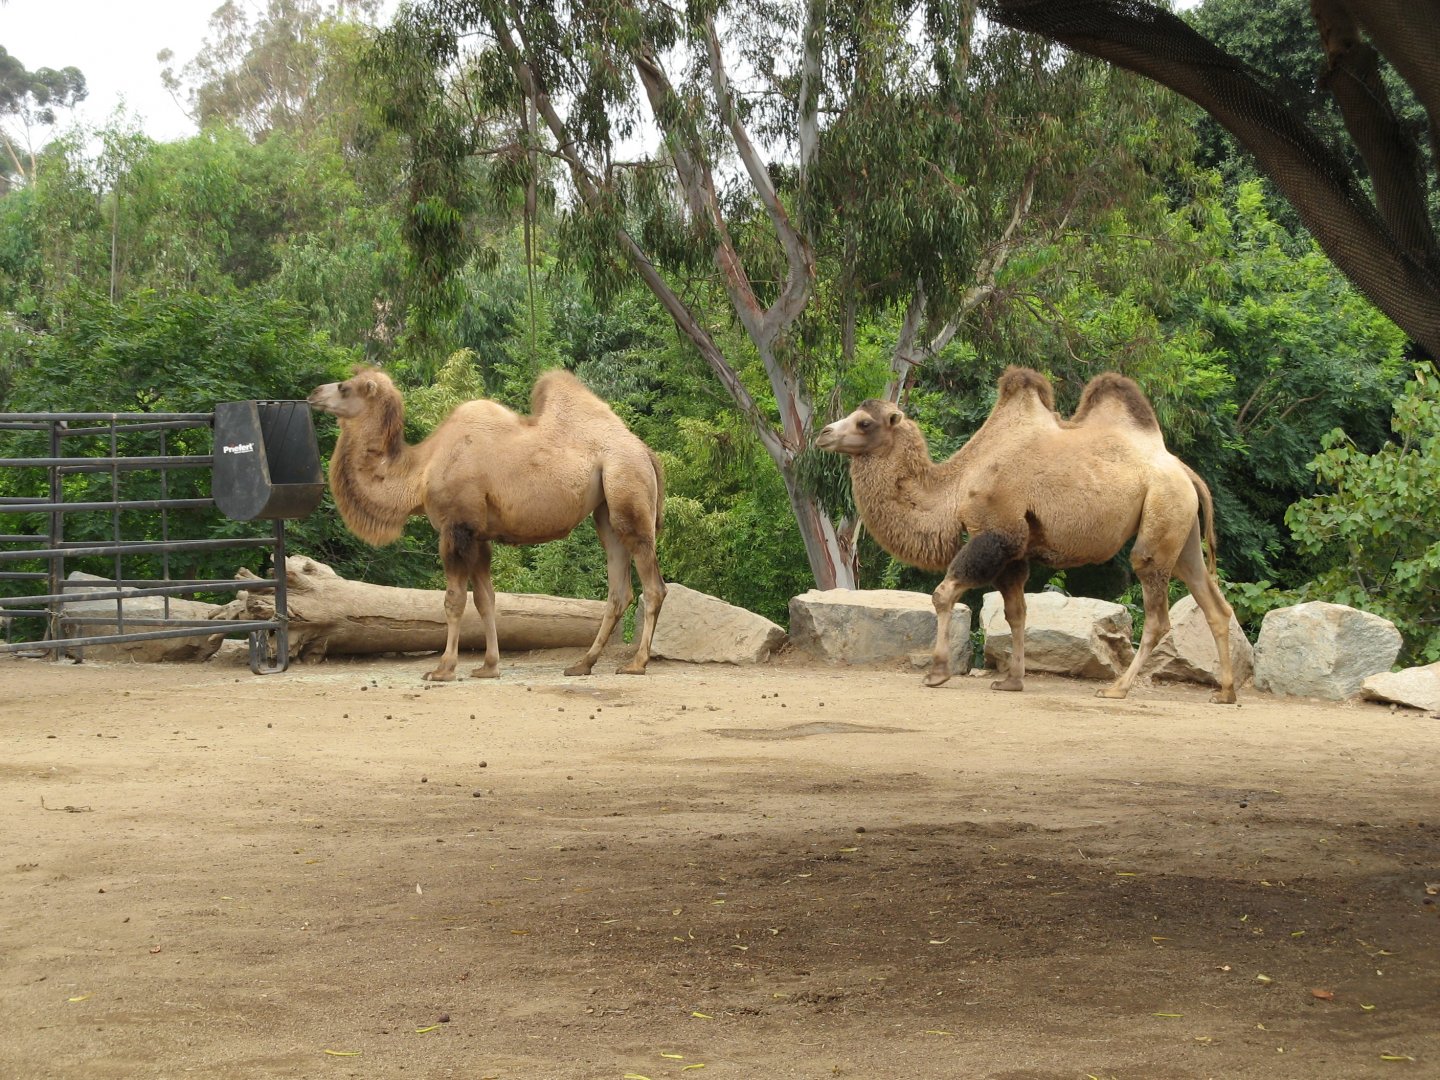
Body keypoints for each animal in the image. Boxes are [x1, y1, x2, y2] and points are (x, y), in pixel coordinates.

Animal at [307, 367, 667, 681]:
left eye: (345, 387)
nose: (313, 393)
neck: (420, 472)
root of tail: (646, 452)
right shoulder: (479, 535)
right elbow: (485, 600)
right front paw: (488, 667)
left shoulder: (456, 527)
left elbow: (454, 600)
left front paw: (443, 669)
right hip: (606, 509)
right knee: (619, 590)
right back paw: (582, 664)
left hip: (626, 484)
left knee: (653, 585)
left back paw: (636, 664)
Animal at [816, 366, 1237, 703]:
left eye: (864, 422)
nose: (823, 433)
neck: (958, 484)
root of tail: (1186, 471)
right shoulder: (1016, 552)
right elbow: (1016, 612)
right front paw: (1012, 681)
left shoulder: (996, 532)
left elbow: (944, 594)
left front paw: (937, 673)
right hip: (1182, 527)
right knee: (1213, 602)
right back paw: (1225, 693)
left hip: (1161, 514)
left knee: (1156, 611)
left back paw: (1117, 688)